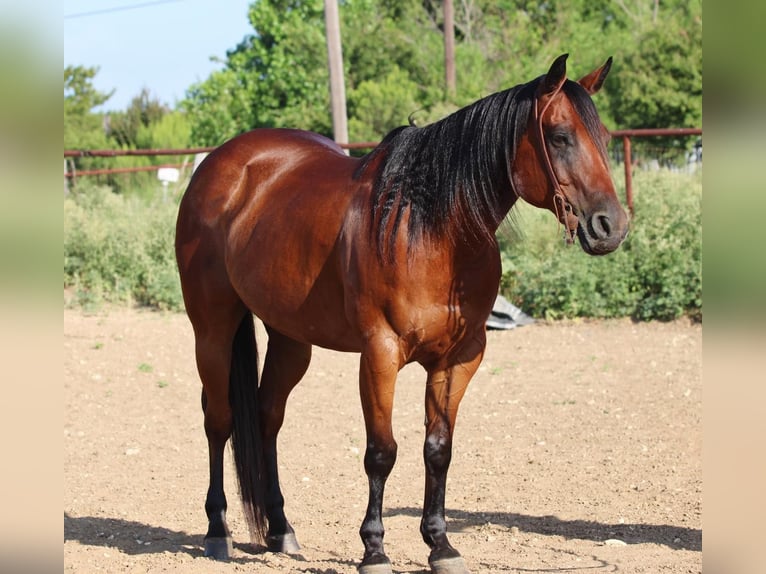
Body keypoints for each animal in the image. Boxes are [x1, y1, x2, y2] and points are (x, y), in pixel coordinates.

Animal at [175, 54, 628, 574]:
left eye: (606, 137)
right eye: (558, 136)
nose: (612, 226)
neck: (433, 230)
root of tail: (220, 163)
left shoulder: (460, 358)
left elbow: (438, 449)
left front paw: (440, 544)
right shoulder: (380, 354)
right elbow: (381, 452)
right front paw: (374, 549)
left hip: (291, 338)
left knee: (268, 416)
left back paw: (281, 530)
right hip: (212, 328)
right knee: (219, 418)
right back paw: (217, 530)